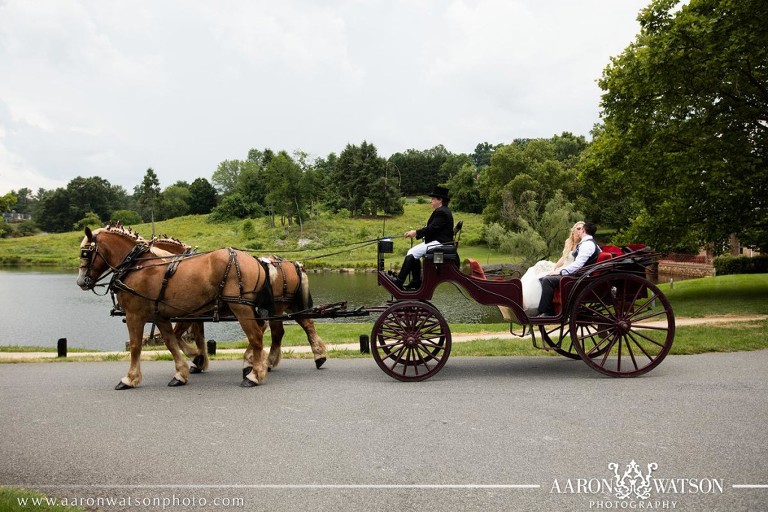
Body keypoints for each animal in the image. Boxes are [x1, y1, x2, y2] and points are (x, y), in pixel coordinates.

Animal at [77, 226, 276, 390]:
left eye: (85, 253)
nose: (80, 282)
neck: (137, 265)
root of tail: (256, 261)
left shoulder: (135, 315)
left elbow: (136, 346)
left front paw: (130, 378)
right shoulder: (160, 315)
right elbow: (172, 342)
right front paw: (183, 371)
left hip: (240, 307)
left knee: (256, 337)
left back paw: (254, 374)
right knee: (261, 330)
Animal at [148, 234, 328, 374]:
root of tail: (293, 264)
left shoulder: (189, 314)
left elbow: (181, 336)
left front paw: (197, 360)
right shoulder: (195, 315)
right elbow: (197, 338)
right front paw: (200, 362)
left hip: (273, 306)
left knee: (276, 332)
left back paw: (264, 361)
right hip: (288, 305)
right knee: (306, 324)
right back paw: (318, 356)